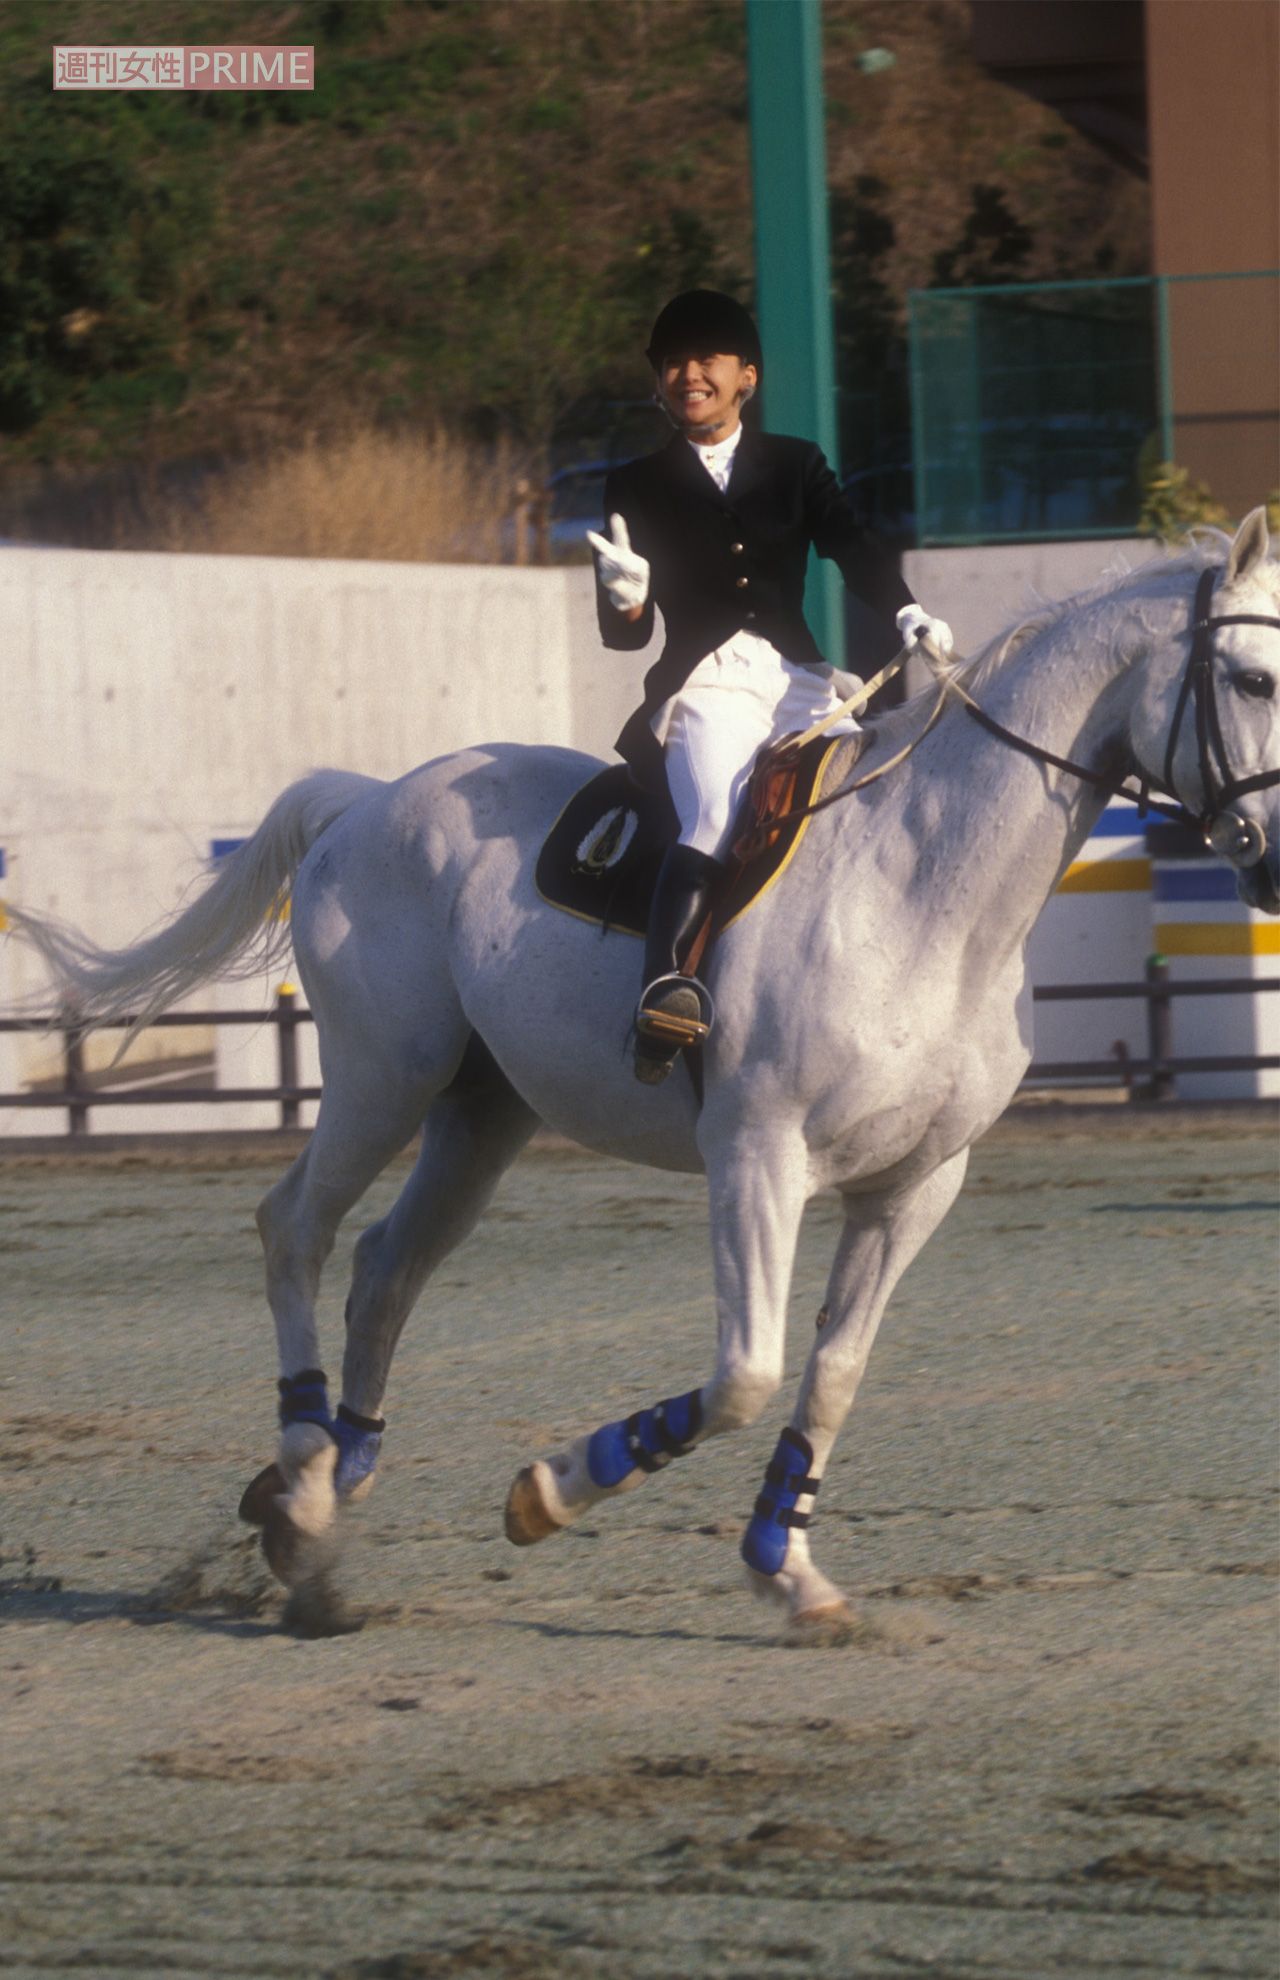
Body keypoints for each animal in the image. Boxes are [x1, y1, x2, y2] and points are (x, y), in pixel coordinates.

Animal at [8, 510, 1278, 1634]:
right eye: (1256, 680)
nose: (1270, 866)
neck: (922, 887)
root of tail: (365, 801)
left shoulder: (914, 1186)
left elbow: (830, 1375)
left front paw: (787, 1573)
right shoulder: (758, 1160)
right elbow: (746, 1375)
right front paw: (551, 1493)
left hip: (479, 1116)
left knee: (385, 1267)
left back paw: (322, 1490)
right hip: (382, 1080)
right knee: (296, 1231)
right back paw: (307, 1484)